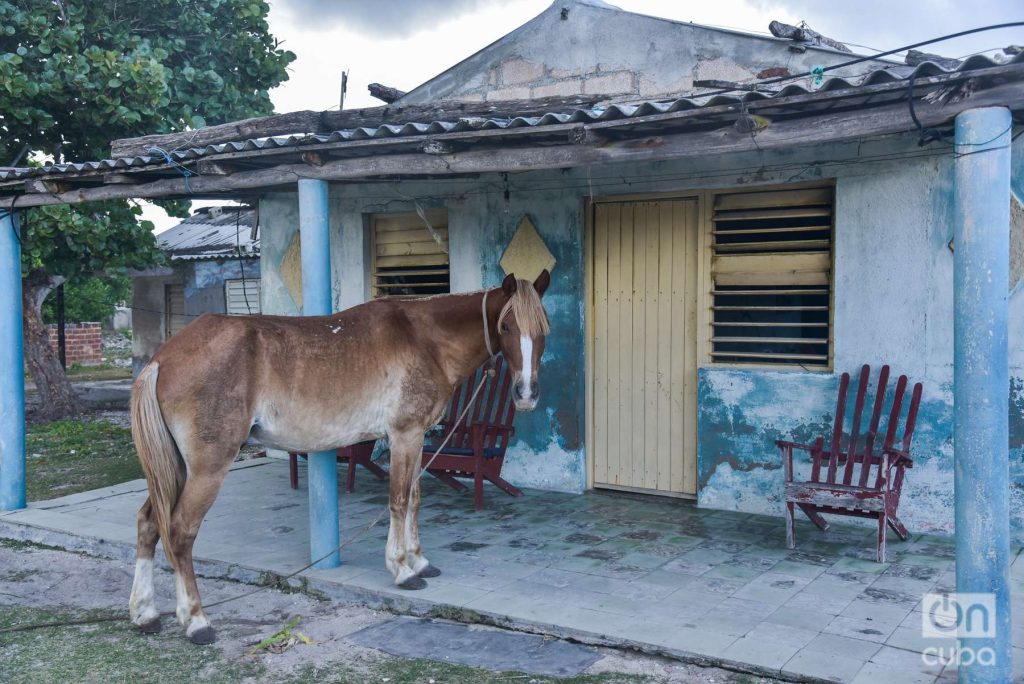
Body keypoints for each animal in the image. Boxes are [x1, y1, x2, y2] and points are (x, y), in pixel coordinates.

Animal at [128, 270, 552, 643]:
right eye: (506, 327)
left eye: (543, 329)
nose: (527, 394)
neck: (424, 338)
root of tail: (163, 358)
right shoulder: (405, 436)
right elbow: (400, 501)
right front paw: (403, 570)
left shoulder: (416, 440)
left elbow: (415, 500)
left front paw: (420, 561)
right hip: (207, 469)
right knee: (180, 532)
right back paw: (197, 622)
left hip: (176, 469)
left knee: (149, 524)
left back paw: (145, 613)